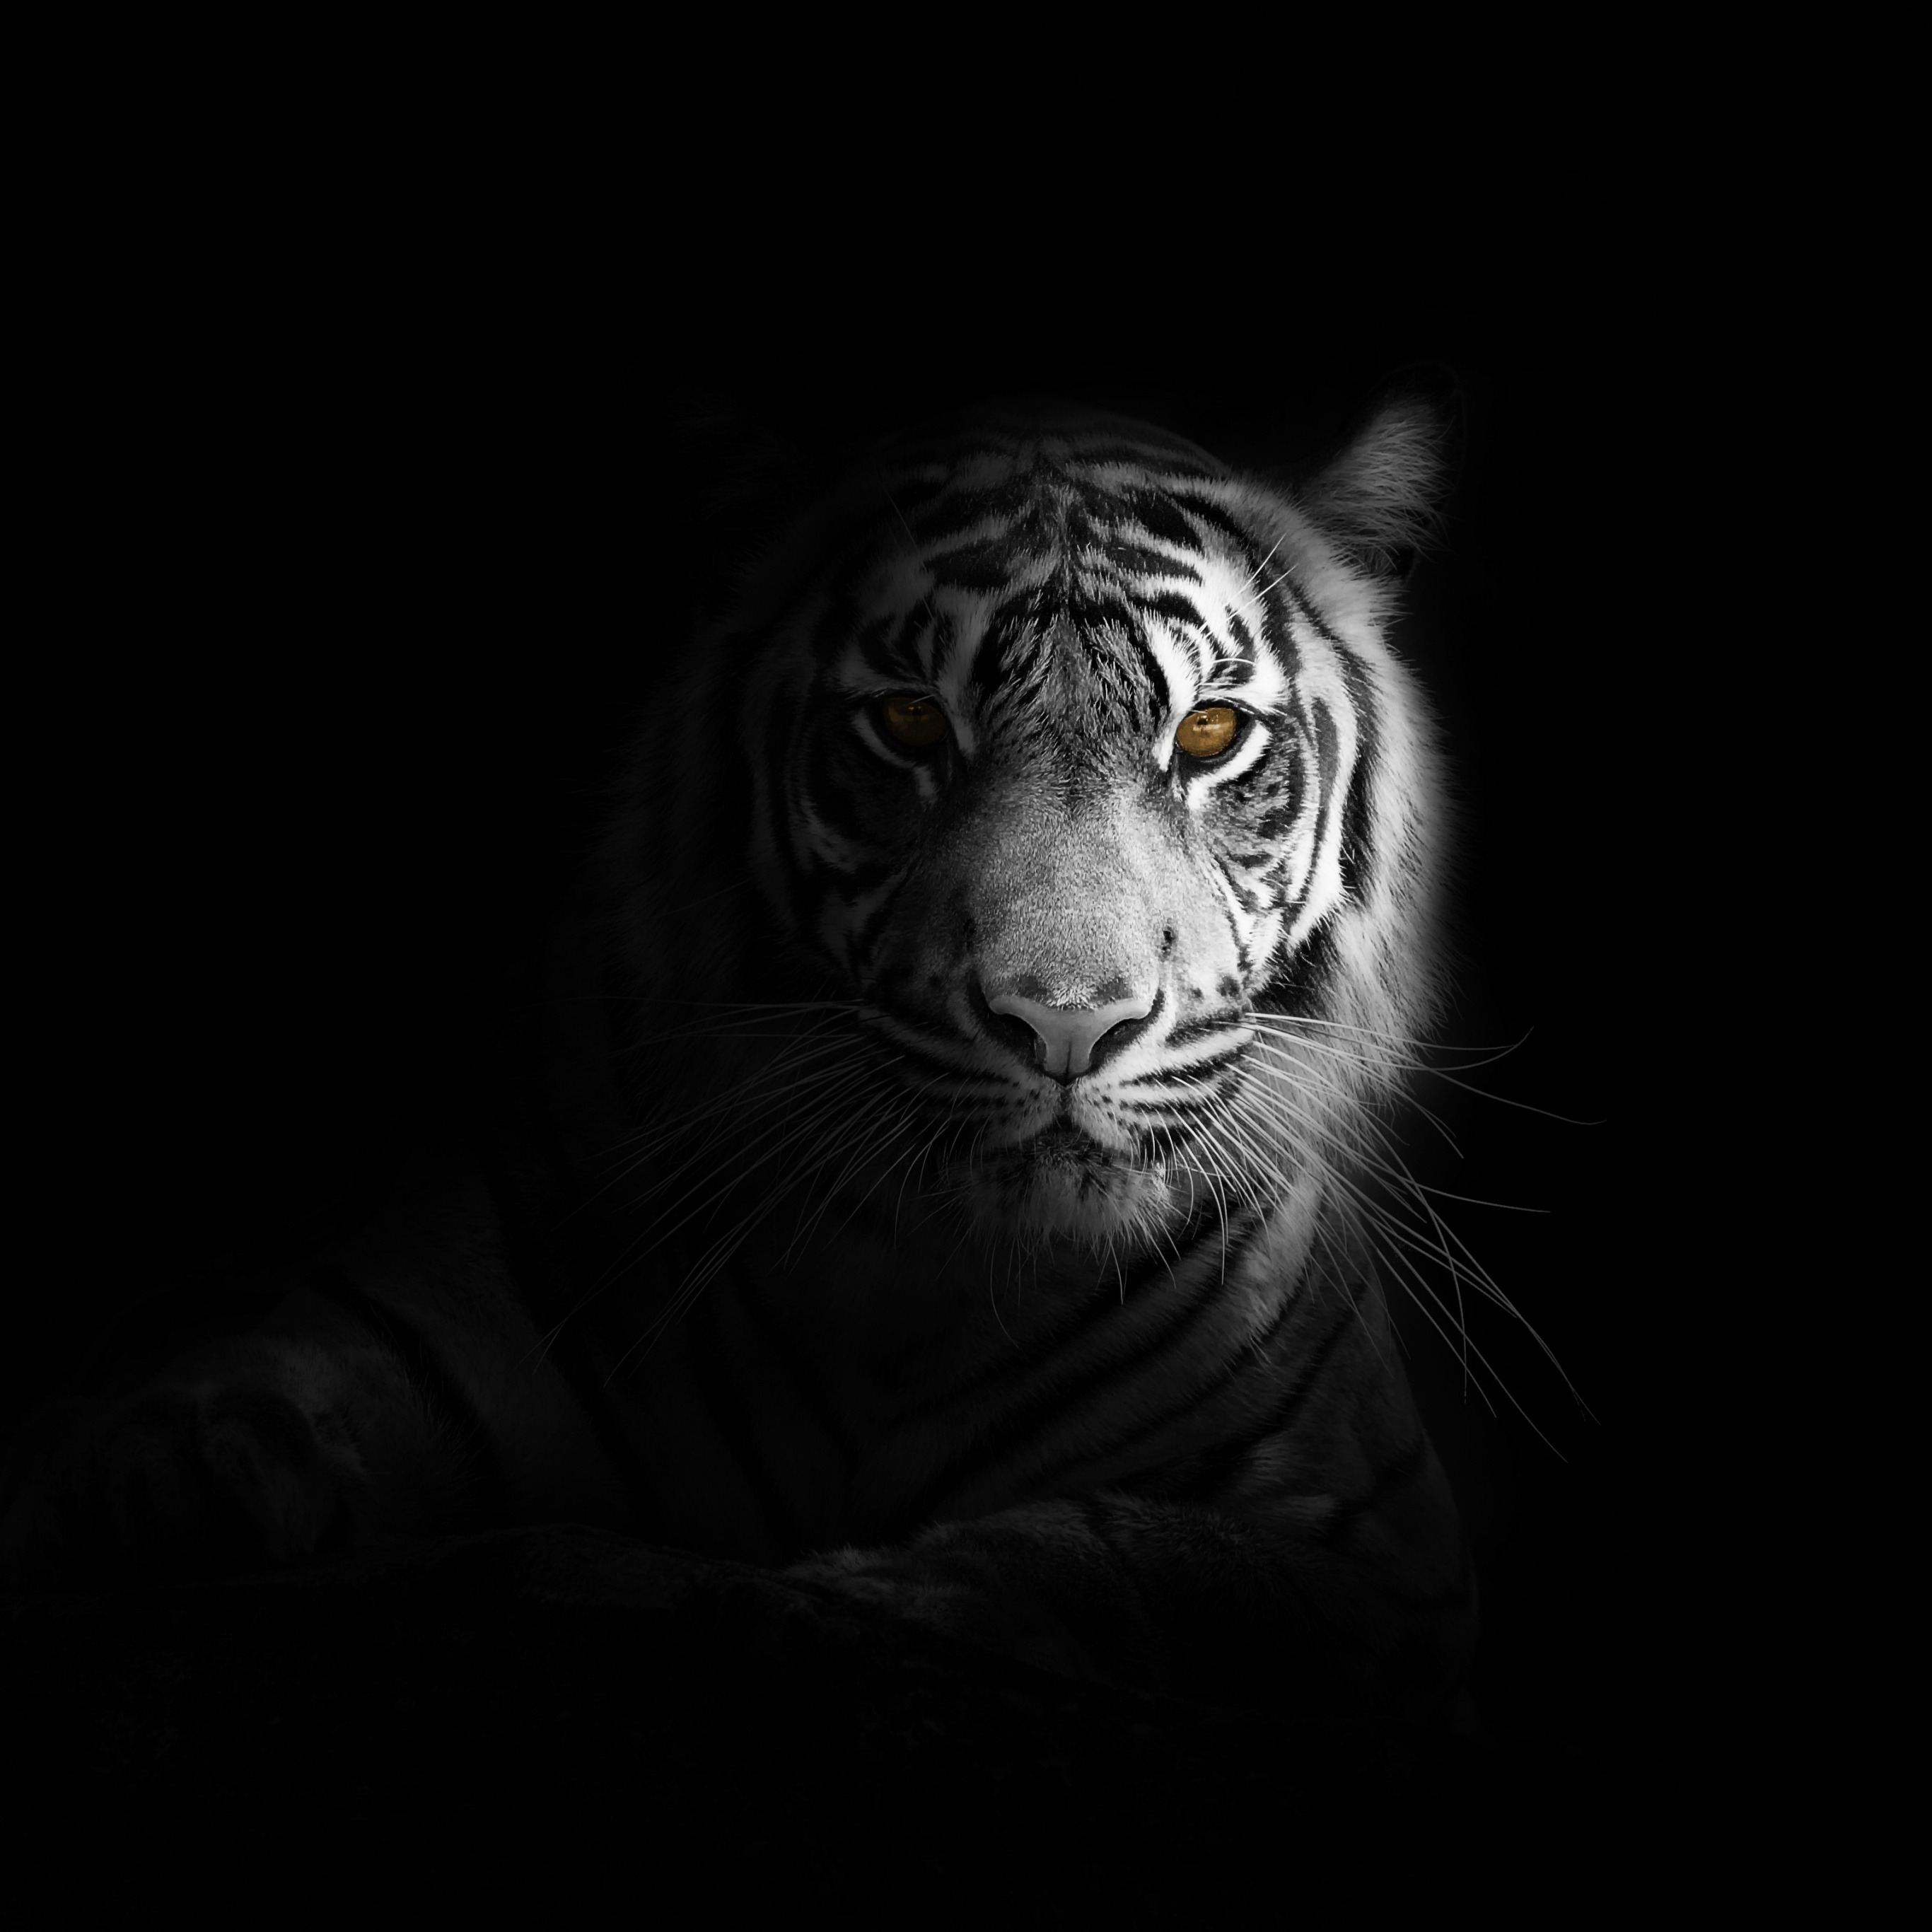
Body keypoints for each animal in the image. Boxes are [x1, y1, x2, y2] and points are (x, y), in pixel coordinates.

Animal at [2, 385, 1485, 1727]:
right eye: (906, 723)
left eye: (1208, 734)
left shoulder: (1383, 1561)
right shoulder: (395, 1316)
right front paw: (132, 1504)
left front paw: (849, 1597)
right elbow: (214, 1421)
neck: (922, 1284)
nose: (1065, 1020)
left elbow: (1127, 1554)